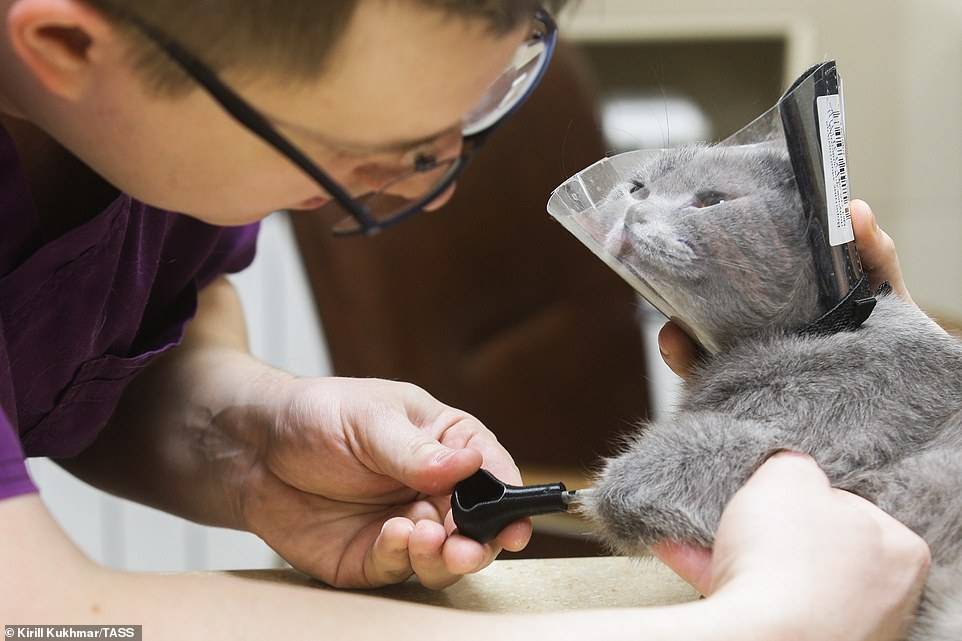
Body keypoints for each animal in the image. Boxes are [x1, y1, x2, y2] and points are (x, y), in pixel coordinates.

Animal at [576, 142, 960, 636]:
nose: (634, 212)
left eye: (712, 201)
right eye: (636, 188)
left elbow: (689, 451)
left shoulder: (807, 426)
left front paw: (609, 493)